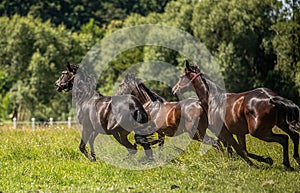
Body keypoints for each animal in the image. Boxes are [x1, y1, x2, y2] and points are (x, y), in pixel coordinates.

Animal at [171, 60, 300, 170]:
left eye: (181, 77)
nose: (174, 89)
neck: (213, 99)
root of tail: (270, 98)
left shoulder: (225, 133)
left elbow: (238, 150)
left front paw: (257, 164)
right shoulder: (239, 133)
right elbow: (243, 150)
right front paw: (265, 160)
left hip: (259, 131)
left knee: (284, 139)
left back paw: (287, 164)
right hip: (282, 124)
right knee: (294, 136)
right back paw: (294, 160)